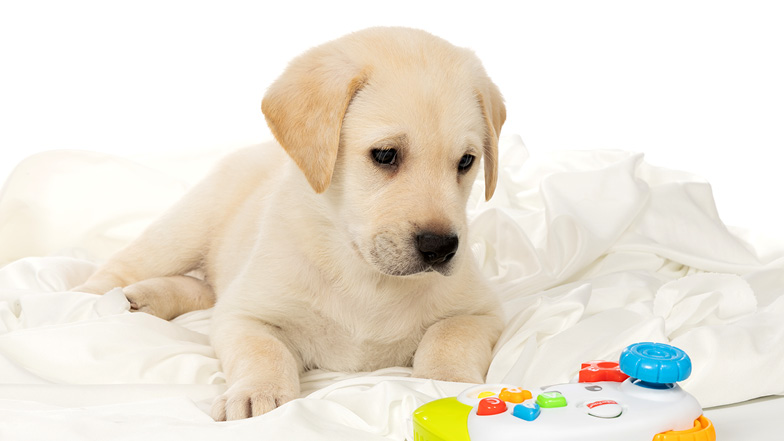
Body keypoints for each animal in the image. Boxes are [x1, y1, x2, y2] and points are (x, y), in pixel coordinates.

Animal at [76, 27, 506, 420]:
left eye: (466, 162)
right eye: (385, 155)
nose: (440, 247)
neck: (365, 275)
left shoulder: (482, 313)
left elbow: (448, 335)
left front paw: (447, 385)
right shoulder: (245, 315)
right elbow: (265, 351)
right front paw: (258, 391)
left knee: (205, 290)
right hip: (185, 229)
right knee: (128, 267)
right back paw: (92, 301)